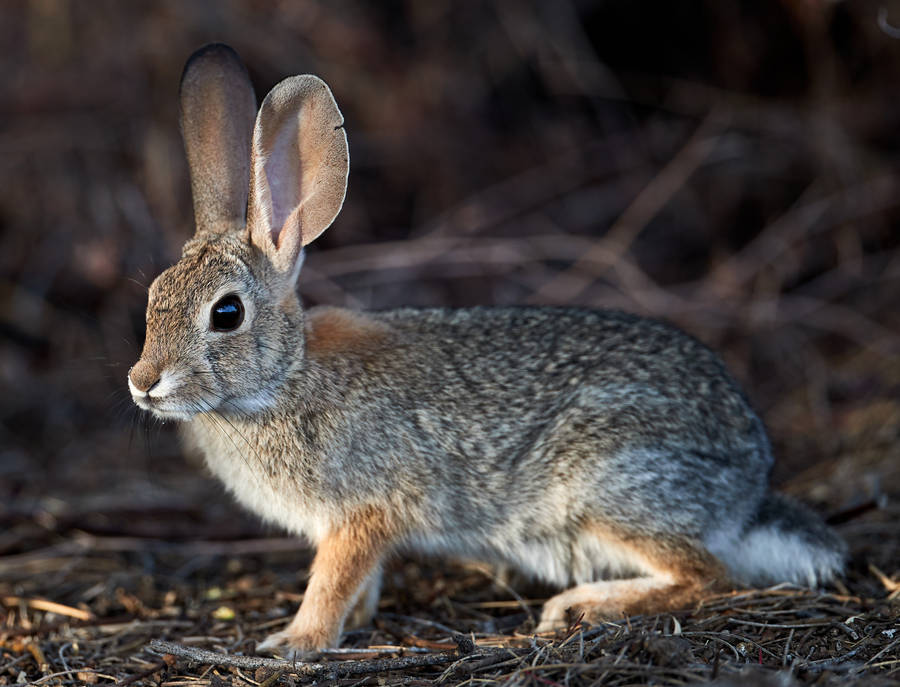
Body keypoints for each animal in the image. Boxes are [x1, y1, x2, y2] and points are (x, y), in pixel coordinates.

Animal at [128, 43, 846, 656]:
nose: (143, 382)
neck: (287, 377)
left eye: (226, 313)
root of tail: (748, 488)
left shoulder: (363, 513)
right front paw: (355, 621)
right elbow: (362, 582)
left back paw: (581, 607)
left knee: (708, 574)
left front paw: (297, 640)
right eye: (154, 295)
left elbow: (334, 578)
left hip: (612, 486)